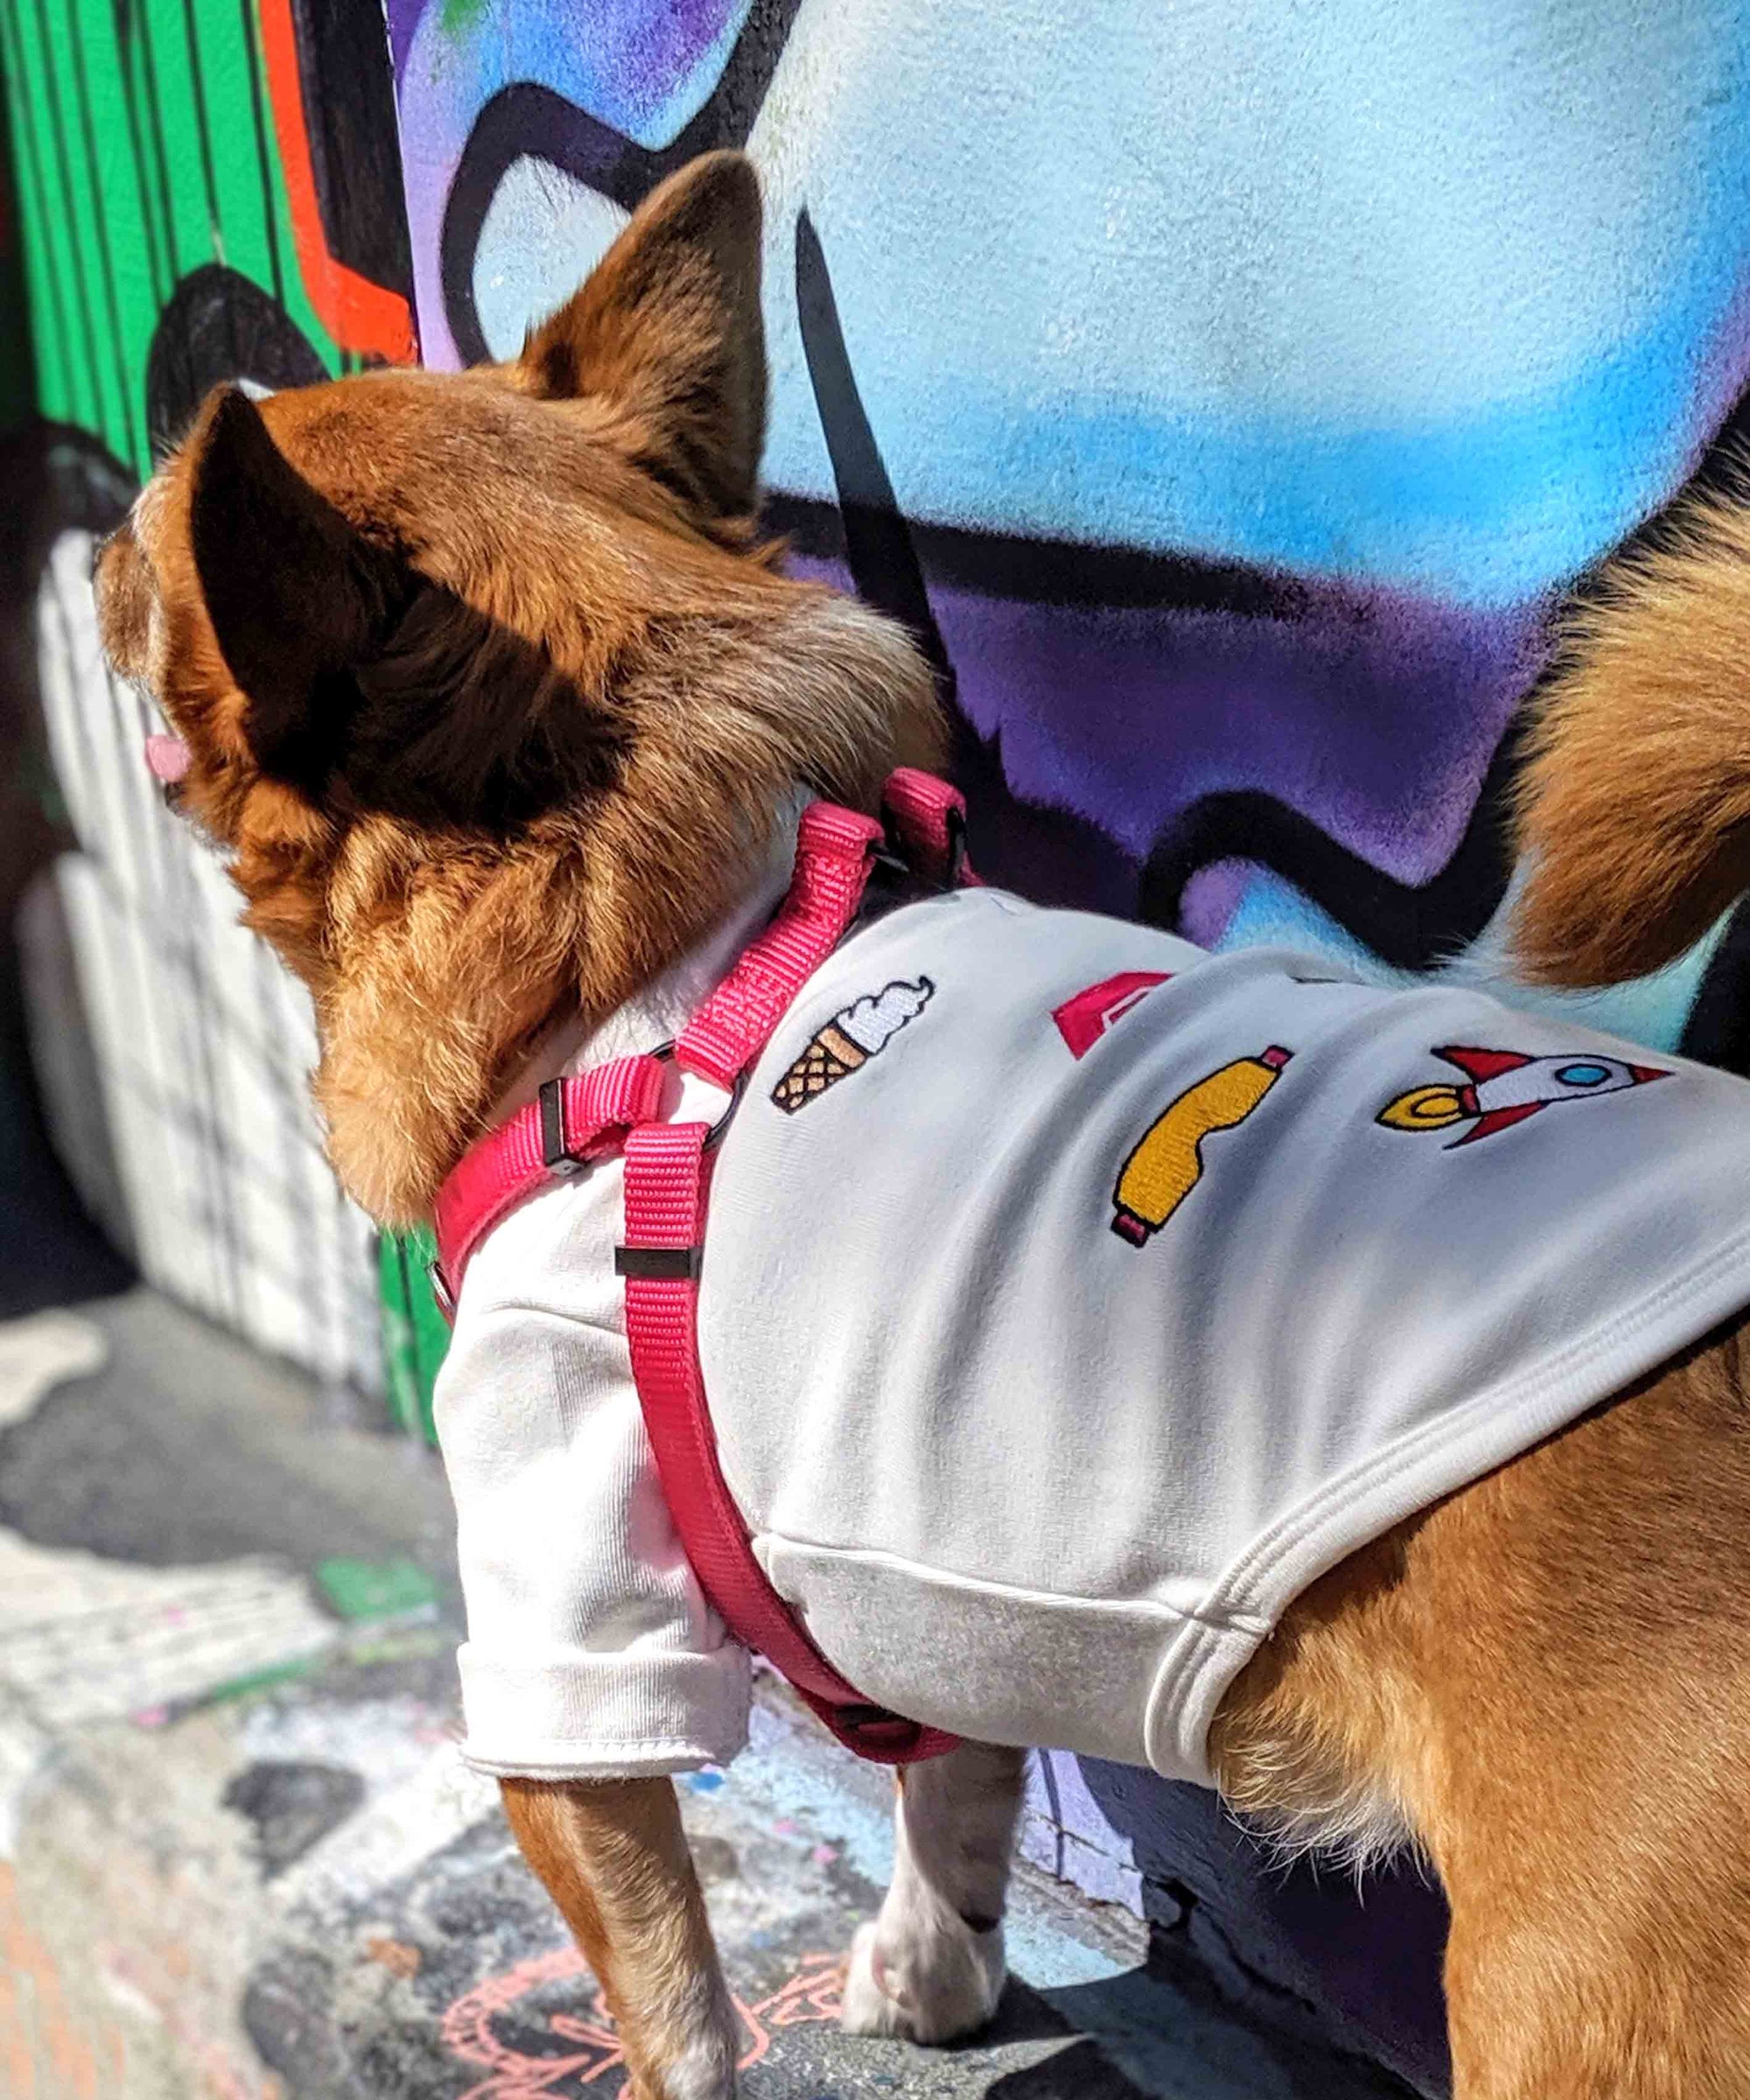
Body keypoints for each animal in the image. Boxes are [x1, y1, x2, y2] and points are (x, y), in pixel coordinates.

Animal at [98, 155, 1750, 2091]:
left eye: (152, 544)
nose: (102, 537)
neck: (657, 957)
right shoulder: (910, 1583)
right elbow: (950, 1789)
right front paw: (936, 1964)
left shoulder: (567, 1611)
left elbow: (668, 1989)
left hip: (1587, 2008)